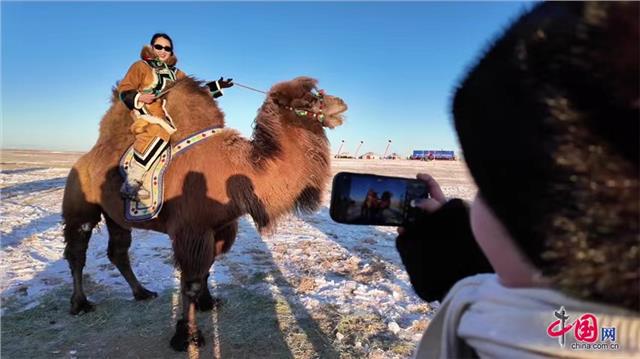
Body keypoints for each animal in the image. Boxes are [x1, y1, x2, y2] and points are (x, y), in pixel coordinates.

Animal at [62, 76, 348, 352]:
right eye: (309, 99)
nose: (341, 103)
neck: (237, 172)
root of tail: (84, 159)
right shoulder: (191, 230)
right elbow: (191, 283)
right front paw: (186, 336)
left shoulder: (220, 228)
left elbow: (207, 271)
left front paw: (208, 303)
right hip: (80, 207)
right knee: (77, 252)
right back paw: (80, 304)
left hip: (117, 217)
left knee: (118, 251)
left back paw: (142, 292)